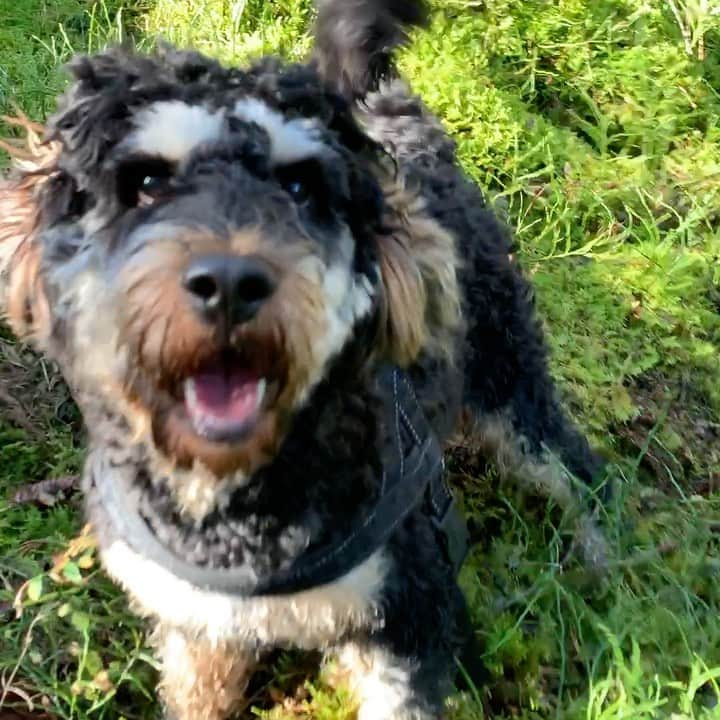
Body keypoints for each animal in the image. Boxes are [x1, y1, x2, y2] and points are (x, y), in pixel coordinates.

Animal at [0, 1, 608, 720]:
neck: (232, 508)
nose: (231, 284)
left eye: (299, 186)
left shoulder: (407, 610)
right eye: (146, 182)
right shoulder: (198, 625)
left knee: (574, 468)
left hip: (506, 367)